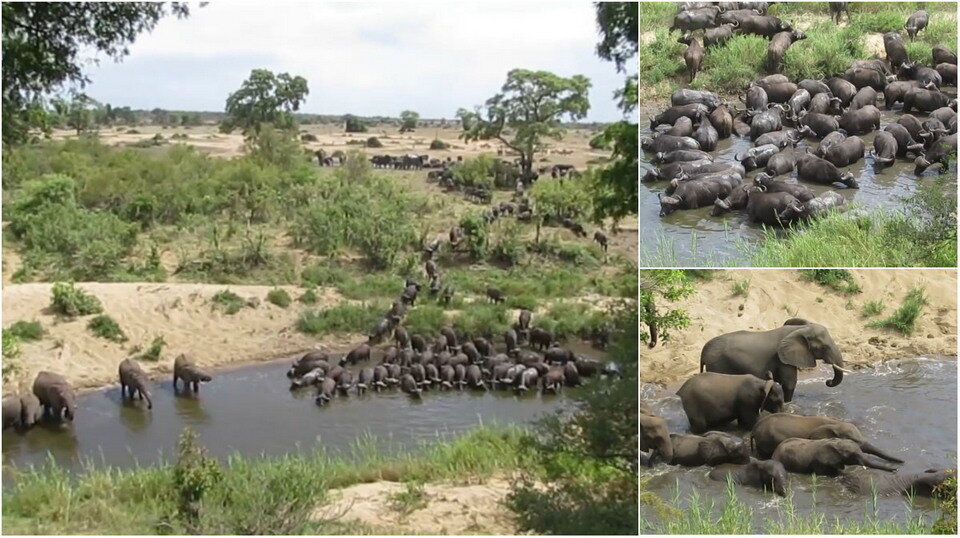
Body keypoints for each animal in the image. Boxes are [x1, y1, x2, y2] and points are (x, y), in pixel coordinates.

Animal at [696, 316, 848, 400]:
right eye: (824, 347)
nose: (828, 382)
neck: (799, 329)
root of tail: (703, 351)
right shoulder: (782, 358)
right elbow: (790, 383)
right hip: (718, 364)